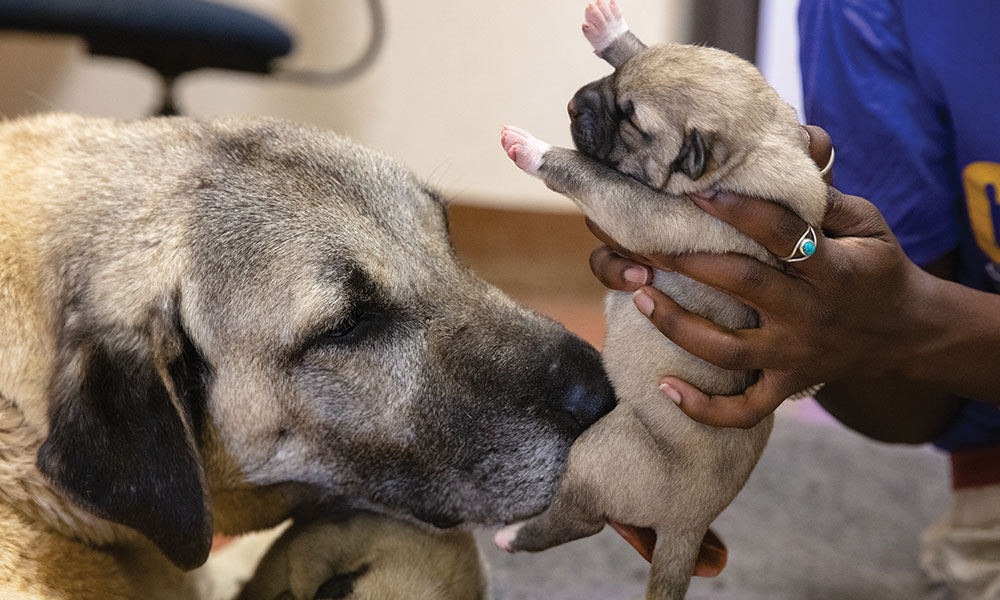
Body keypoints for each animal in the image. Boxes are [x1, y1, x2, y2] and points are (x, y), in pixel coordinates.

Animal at [494, 2, 828, 598]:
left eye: (631, 119)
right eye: (617, 84)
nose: (573, 104)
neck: (754, 143)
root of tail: (690, 527)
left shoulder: (647, 212)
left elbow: (589, 173)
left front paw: (532, 149)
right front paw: (613, 33)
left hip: (600, 452)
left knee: (580, 519)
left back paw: (516, 535)